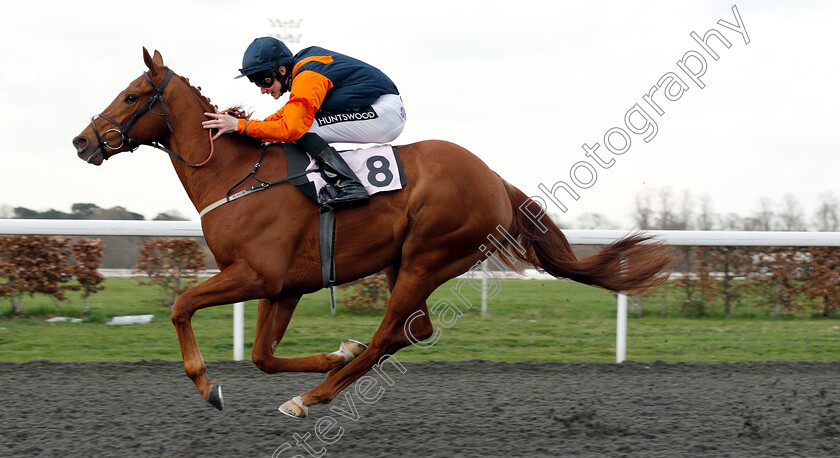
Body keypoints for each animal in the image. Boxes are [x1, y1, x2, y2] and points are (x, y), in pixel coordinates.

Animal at [72, 49, 672, 418]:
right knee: (414, 330)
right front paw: (336, 350)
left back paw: (312, 397)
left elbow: (180, 305)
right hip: (404, 262)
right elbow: (263, 354)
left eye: (131, 96)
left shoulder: (255, 274)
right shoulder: (284, 285)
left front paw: (207, 385)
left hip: (428, 256)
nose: (82, 142)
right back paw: (327, 379)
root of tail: (494, 180)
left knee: (392, 334)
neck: (236, 175)